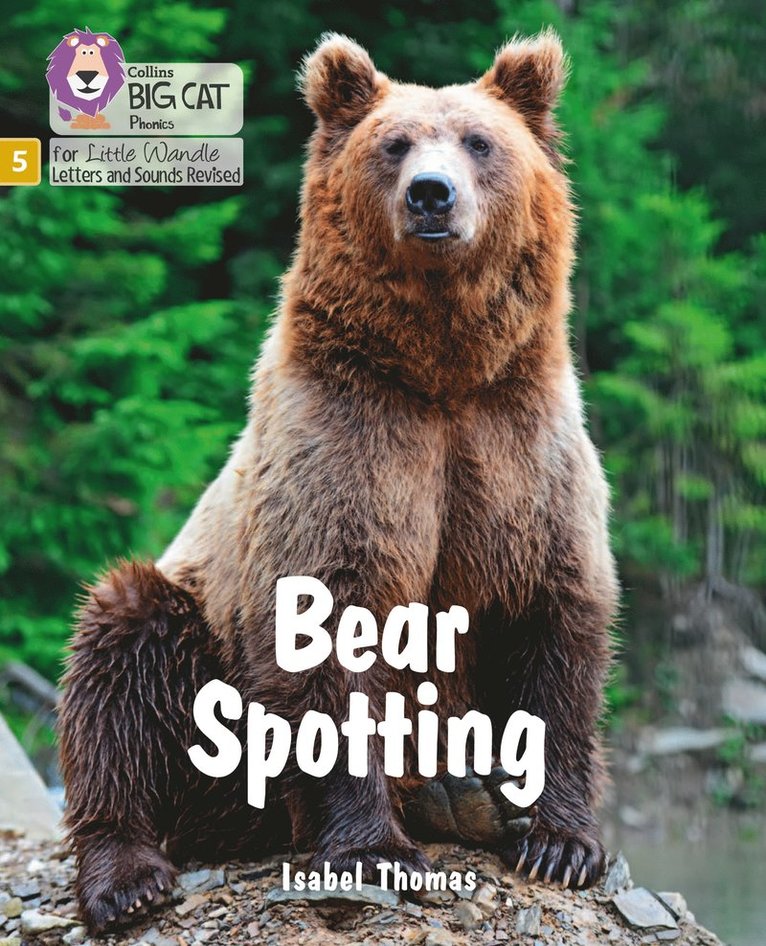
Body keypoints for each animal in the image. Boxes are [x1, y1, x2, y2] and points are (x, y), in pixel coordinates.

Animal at [58, 31, 618, 932]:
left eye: (479, 141)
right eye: (394, 144)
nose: (431, 195)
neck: (440, 371)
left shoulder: (518, 447)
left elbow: (555, 621)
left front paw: (560, 841)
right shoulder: (346, 443)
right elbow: (327, 627)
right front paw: (374, 850)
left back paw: (461, 796)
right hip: (197, 649)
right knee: (119, 658)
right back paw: (127, 875)